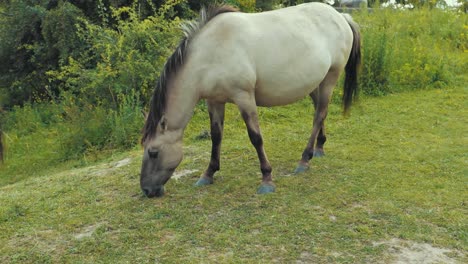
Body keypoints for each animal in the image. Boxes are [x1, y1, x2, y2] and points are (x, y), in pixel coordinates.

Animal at [139, 3, 362, 198]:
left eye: (153, 152)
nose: (147, 190)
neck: (210, 53)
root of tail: (341, 16)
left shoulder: (243, 96)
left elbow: (255, 137)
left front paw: (267, 179)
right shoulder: (214, 101)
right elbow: (216, 136)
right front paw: (208, 174)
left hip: (331, 78)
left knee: (319, 115)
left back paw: (304, 159)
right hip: (316, 83)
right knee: (319, 110)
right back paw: (319, 148)